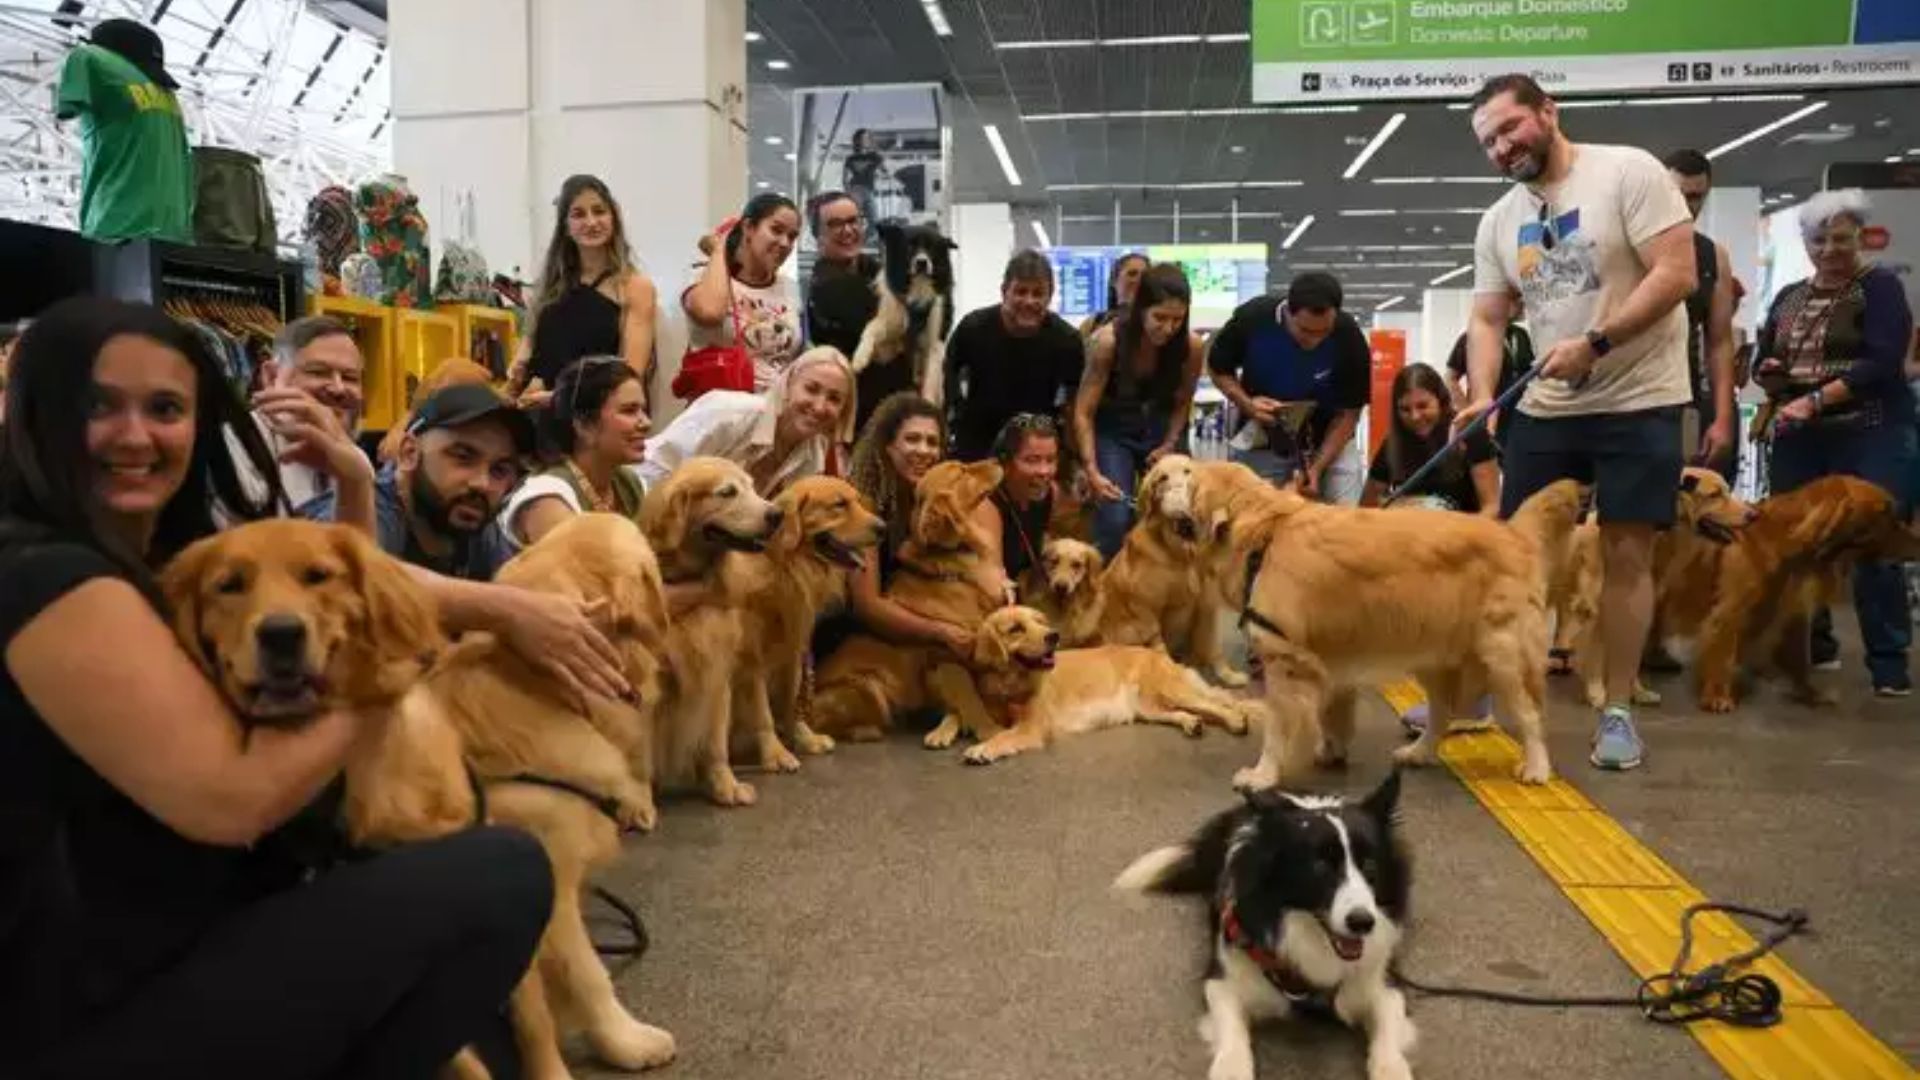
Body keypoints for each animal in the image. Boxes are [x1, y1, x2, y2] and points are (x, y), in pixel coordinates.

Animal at [852, 219, 956, 403]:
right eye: (909, 246)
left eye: (931, 248)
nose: (922, 263)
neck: (918, 287)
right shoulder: (891, 325)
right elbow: (872, 327)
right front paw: (860, 356)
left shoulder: (935, 339)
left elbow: (931, 378)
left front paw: (927, 403)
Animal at [1121, 768, 1420, 1068]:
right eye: (1320, 866)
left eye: (1369, 865)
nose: (1362, 923)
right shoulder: (1223, 978)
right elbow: (1233, 1036)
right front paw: (1231, 1068)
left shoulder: (1385, 983)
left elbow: (1388, 1036)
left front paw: (1392, 1068)